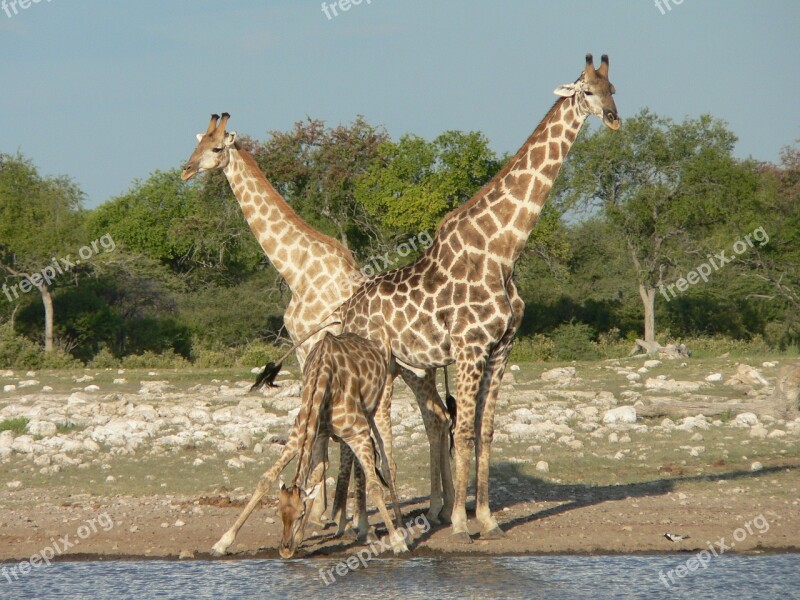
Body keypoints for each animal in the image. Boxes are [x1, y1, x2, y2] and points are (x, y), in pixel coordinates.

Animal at [183, 115, 456, 528]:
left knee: (436, 419)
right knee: (438, 418)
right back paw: (444, 506)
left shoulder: (310, 345)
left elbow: (318, 426)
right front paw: (328, 509)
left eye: (215, 148)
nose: (185, 171)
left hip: (415, 370)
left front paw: (317, 510)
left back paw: (441, 506)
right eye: (195, 145)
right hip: (415, 370)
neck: (297, 269)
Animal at [211, 330, 406, 556]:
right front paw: (222, 542)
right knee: (330, 467)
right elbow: (268, 478)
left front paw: (398, 542)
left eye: (300, 514)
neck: (324, 378)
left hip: (380, 408)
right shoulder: (303, 433)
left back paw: (399, 528)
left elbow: (375, 487)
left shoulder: (357, 433)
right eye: (279, 513)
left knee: (388, 464)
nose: (285, 549)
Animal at [334, 55, 620, 544]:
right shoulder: (469, 348)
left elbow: (486, 432)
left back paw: (368, 526)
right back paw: (371, 528)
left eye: (613, 88)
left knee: (393, 432)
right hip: (376, 370)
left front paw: (488, 519)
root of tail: (346, 312)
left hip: (407, 367)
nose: (614, 118)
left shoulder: (501, 348)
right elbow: (465, 431)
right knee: (371, 436)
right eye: (586, 91)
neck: (503, 250)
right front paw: (461, 525)